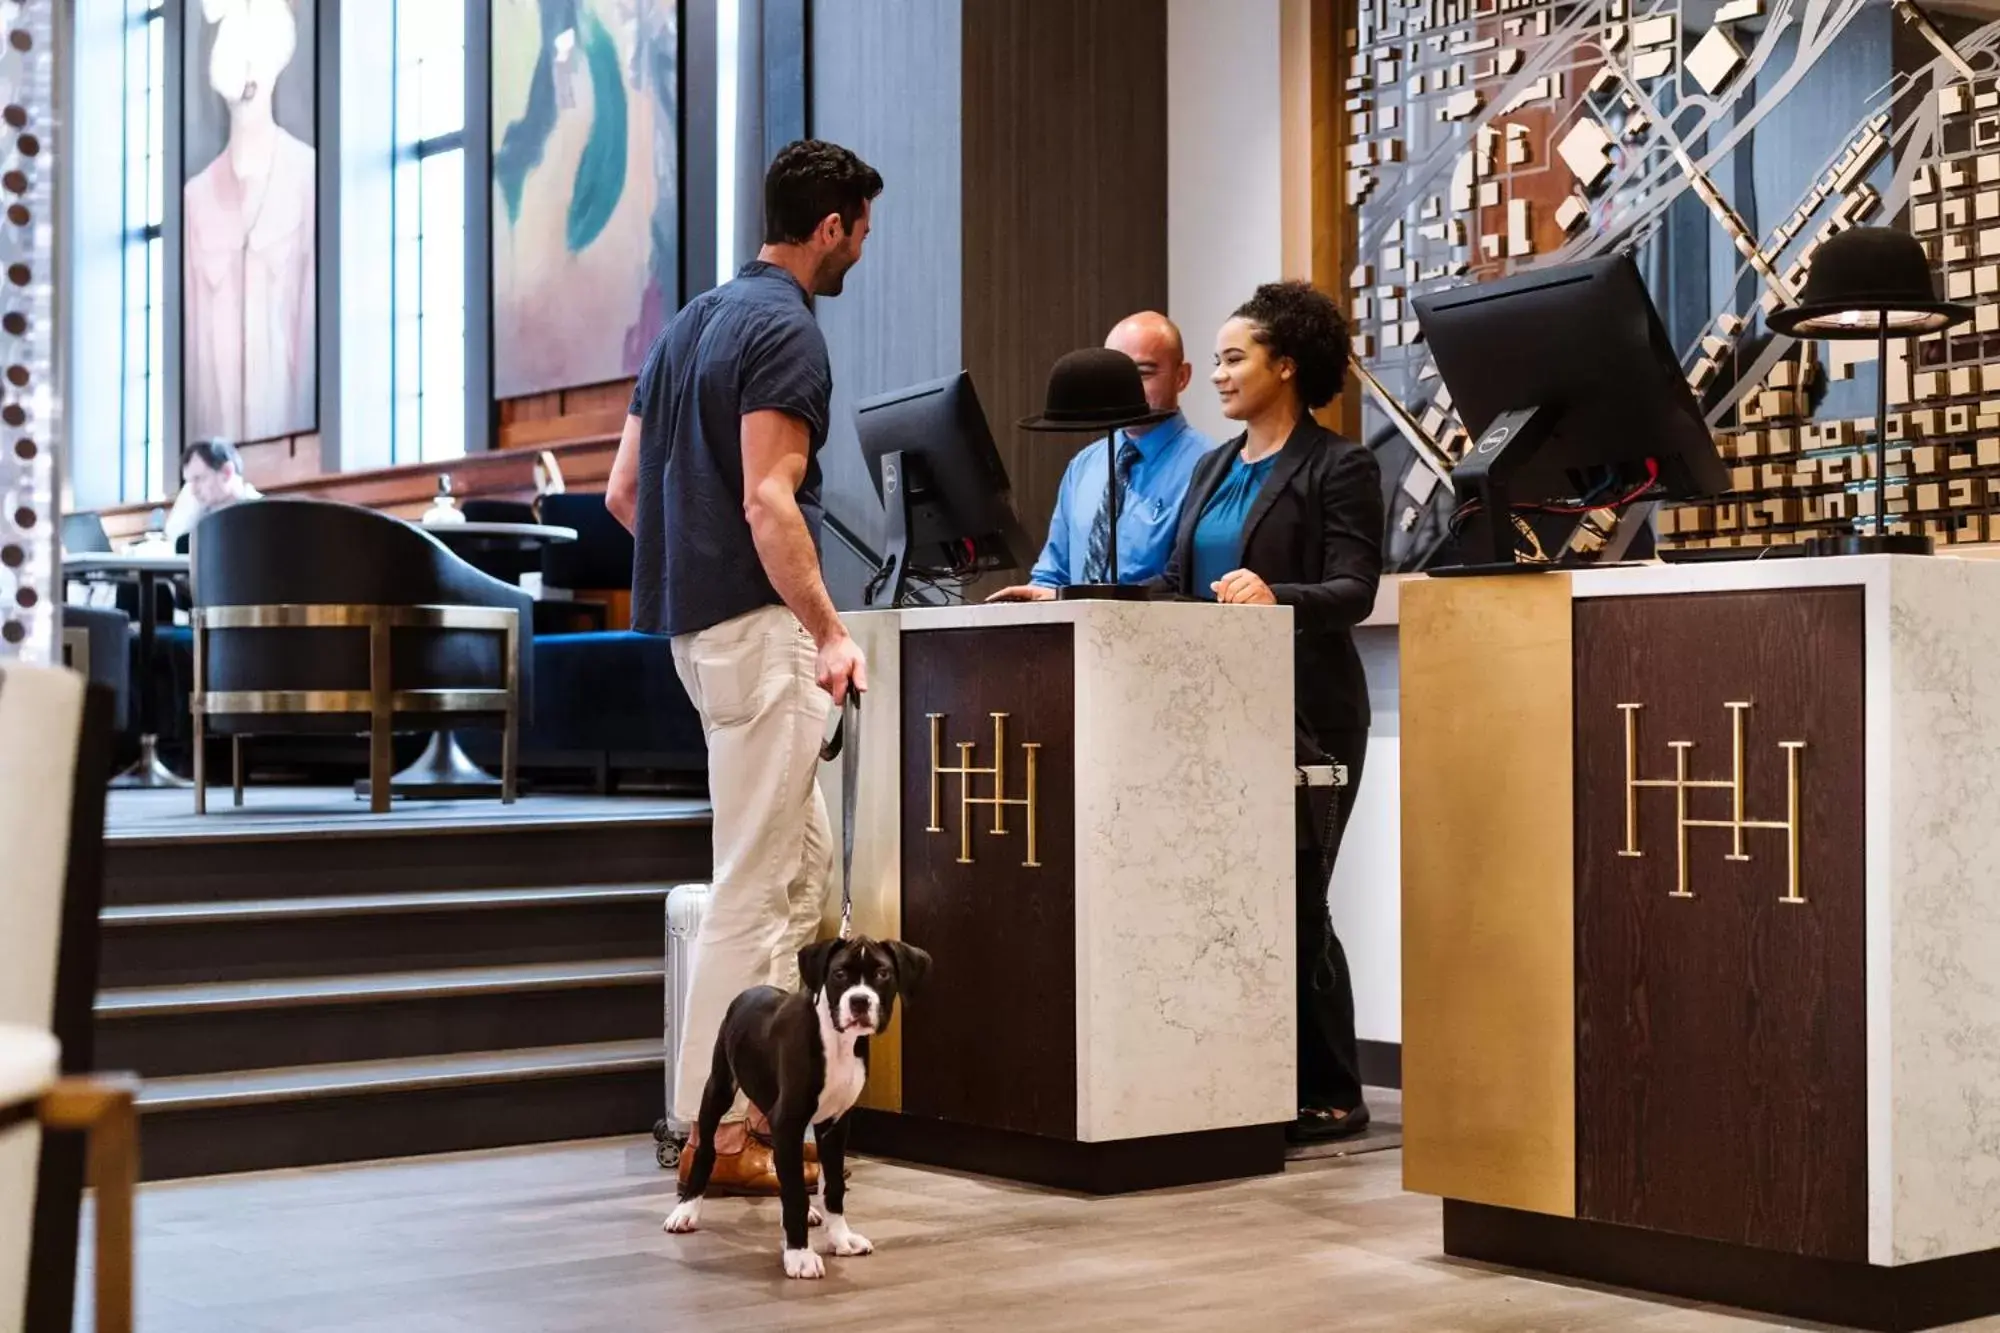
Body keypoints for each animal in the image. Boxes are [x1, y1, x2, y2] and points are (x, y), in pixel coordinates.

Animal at [664, 928, 928, 1272]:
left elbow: (832, 1186)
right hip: (717, 1089)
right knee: (706, 1151)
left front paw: (841, 1238)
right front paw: (799, 1254)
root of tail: (754, 990)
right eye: (839, 974)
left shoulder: (834, 1124)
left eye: (883, 974)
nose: (859, 1001)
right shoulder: (788, 1121)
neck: (837, 1040)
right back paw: (686, 1210)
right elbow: (794, 1192)